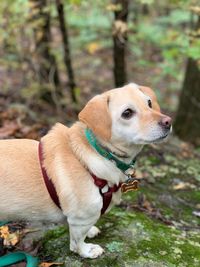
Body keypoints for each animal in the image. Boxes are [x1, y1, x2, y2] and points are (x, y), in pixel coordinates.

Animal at [0, 84, 172, 260]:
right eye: (127, 113)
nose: (168, 121)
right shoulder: (81, 218)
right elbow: (77, 241)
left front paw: (90, 231)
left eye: (149, 103)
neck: (99, 154)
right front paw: (86, 250)